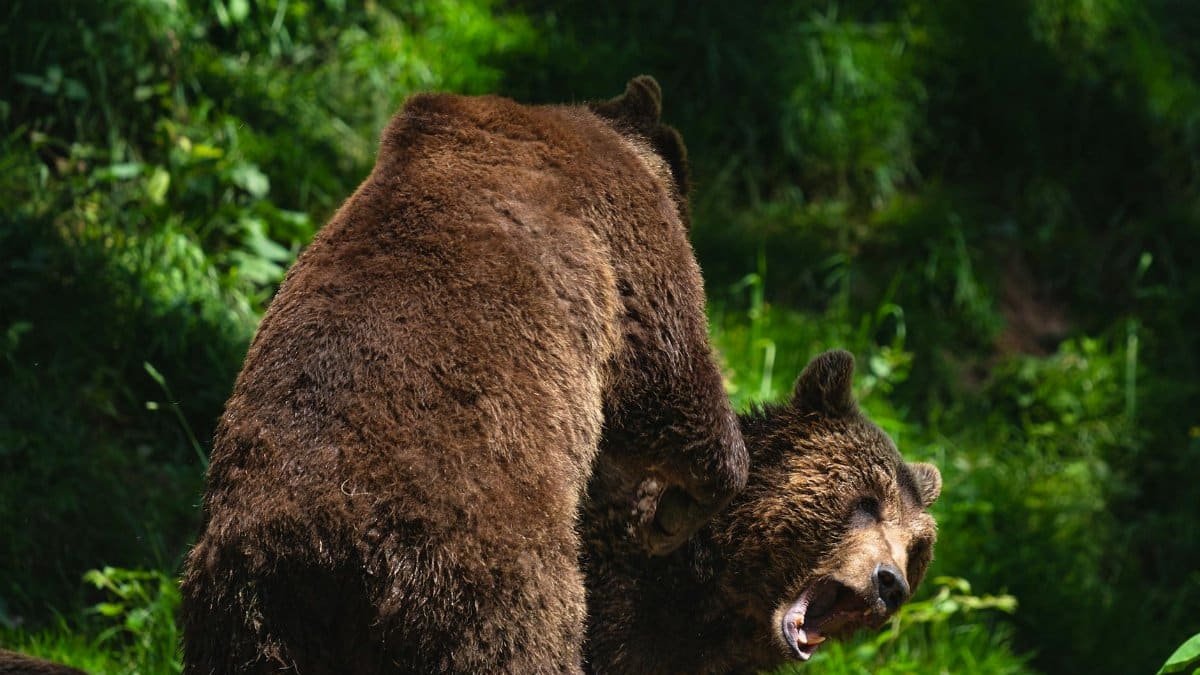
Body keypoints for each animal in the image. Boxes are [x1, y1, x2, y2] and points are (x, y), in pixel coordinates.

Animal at [179, 76, 749, 674]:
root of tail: (324, 554)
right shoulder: (624, 246)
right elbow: (672, 378)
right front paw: (676, 512)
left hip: (248, 621)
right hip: (476, 592)